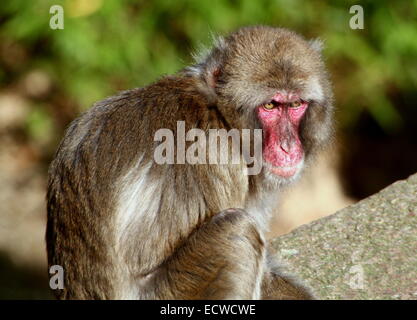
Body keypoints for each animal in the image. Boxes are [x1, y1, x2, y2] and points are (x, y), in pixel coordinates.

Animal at [46, 25, 332, 300]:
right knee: (237, 231)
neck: (218, 113)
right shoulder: (218, 155)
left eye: (295, 104)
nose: (288, 147)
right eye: (271, 106)